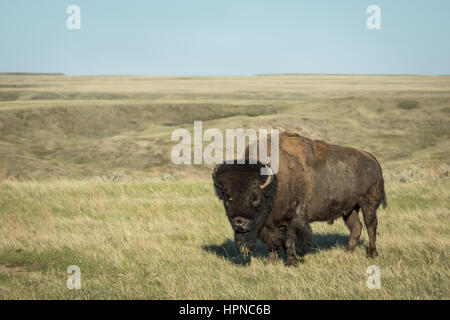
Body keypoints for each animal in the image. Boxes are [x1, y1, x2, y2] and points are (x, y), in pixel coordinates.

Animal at [212, 131, 386, 266]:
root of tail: (372, 158)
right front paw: (270, 262)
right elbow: (272, 243)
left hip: (367, 204)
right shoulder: (269, 225)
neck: (273, 183)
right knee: (356, 227)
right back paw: (347, 252)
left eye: (255, 197)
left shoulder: (291, 219)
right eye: (227, 197)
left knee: (371, 225)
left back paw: (371, 254)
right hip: (350, 209)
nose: (239, 222)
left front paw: (292, 262)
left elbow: (288, 241)